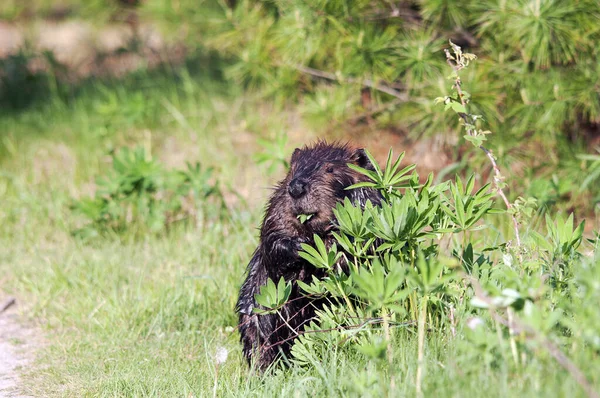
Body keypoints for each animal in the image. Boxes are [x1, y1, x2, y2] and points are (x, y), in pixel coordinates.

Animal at [236, 141, 382, 370]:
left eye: (330, 169)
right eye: (293, 169)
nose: (296, 188)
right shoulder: (276, 209)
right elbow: (272, 244)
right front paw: (301, 245)